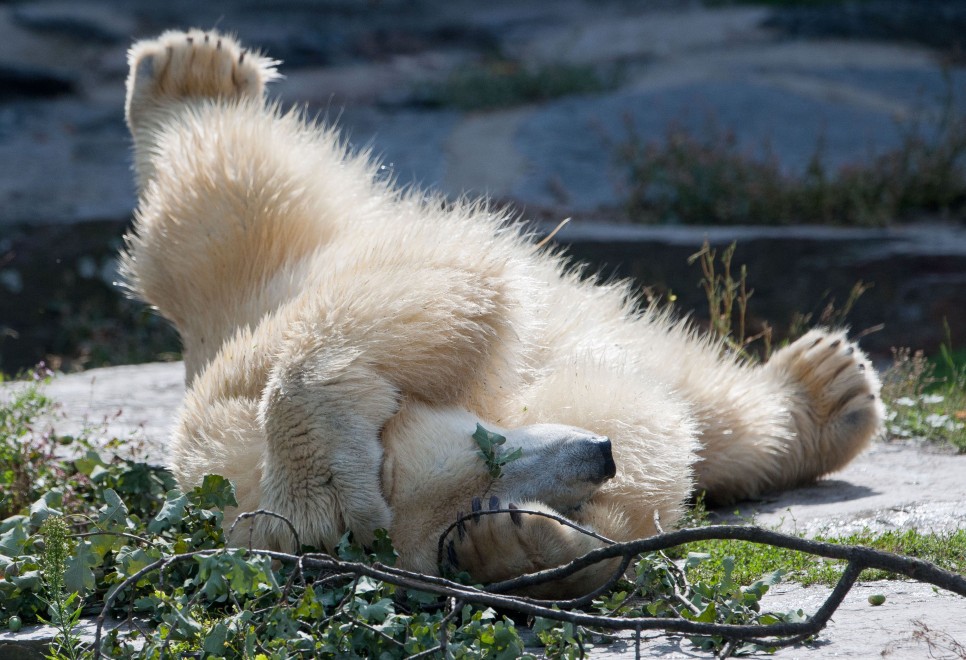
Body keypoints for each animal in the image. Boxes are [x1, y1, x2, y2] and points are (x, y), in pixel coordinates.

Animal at [120, 29, 884, 597]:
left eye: (482, 443)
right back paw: (829, 393)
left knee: (213, 202)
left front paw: (325, 480)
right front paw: (525, 546)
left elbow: (452, 287)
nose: (597, 454)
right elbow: (633, 420)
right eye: (478, 491)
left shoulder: (233, 391)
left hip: (258, 262)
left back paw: (189, 73)